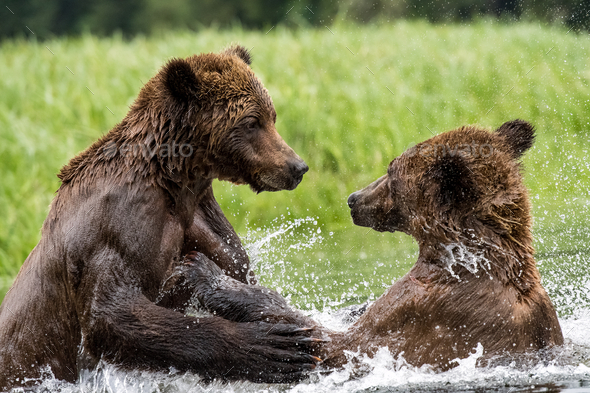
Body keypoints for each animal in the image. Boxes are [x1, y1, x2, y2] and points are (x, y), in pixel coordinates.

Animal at [0, 45, 322, 388]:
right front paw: (271, 346)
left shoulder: (201, 216)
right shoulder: (119, 225)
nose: (296, 166)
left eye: (272, 116)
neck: (175, 181)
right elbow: (112, 313)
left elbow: (233, 269)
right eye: (251, 121)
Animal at [187, 119, 568, 370]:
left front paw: (204, 272)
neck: (466, 256)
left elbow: (338, 343)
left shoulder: (431, 311)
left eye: (391, 172)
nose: (353, 199)